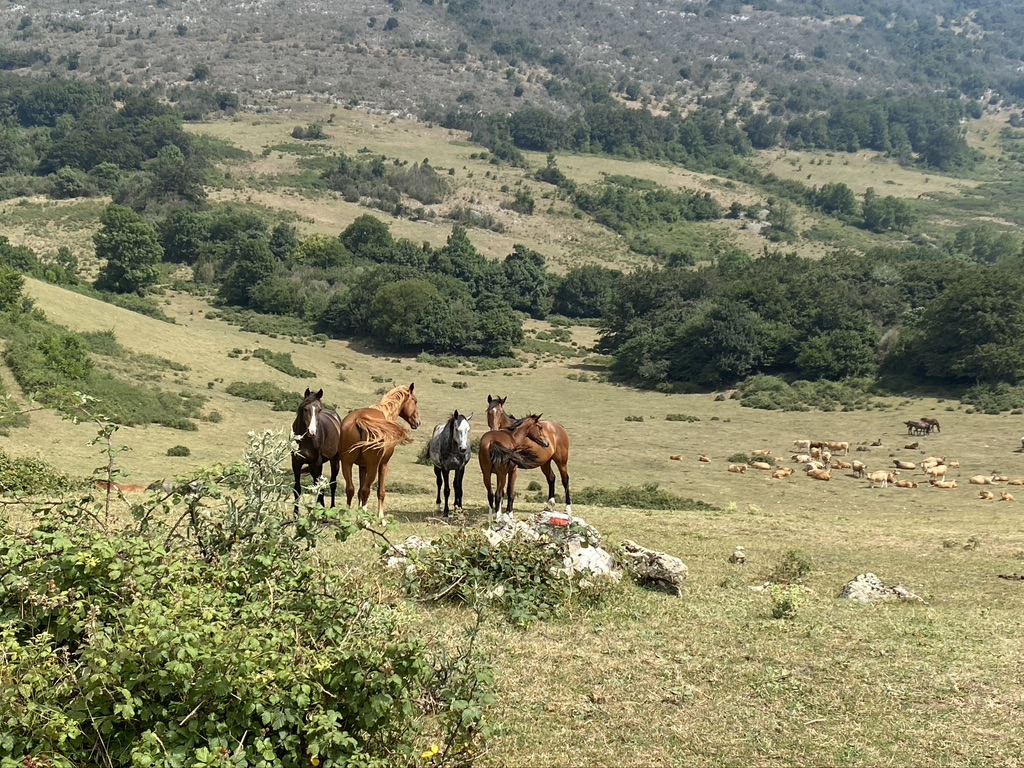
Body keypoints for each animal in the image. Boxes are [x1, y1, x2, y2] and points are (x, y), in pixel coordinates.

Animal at [339, 382, 419, 524]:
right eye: (414, 401)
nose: (417, 422)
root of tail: (359, 419)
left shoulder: (362, 466)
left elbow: (359, 492)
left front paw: (358, 517)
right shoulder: (383, 465)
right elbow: (380, 492)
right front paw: (381, 519)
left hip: (346, 463)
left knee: (350, 489)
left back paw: (346, 518)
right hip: (373, 465)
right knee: (366, 490)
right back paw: (366, 521)